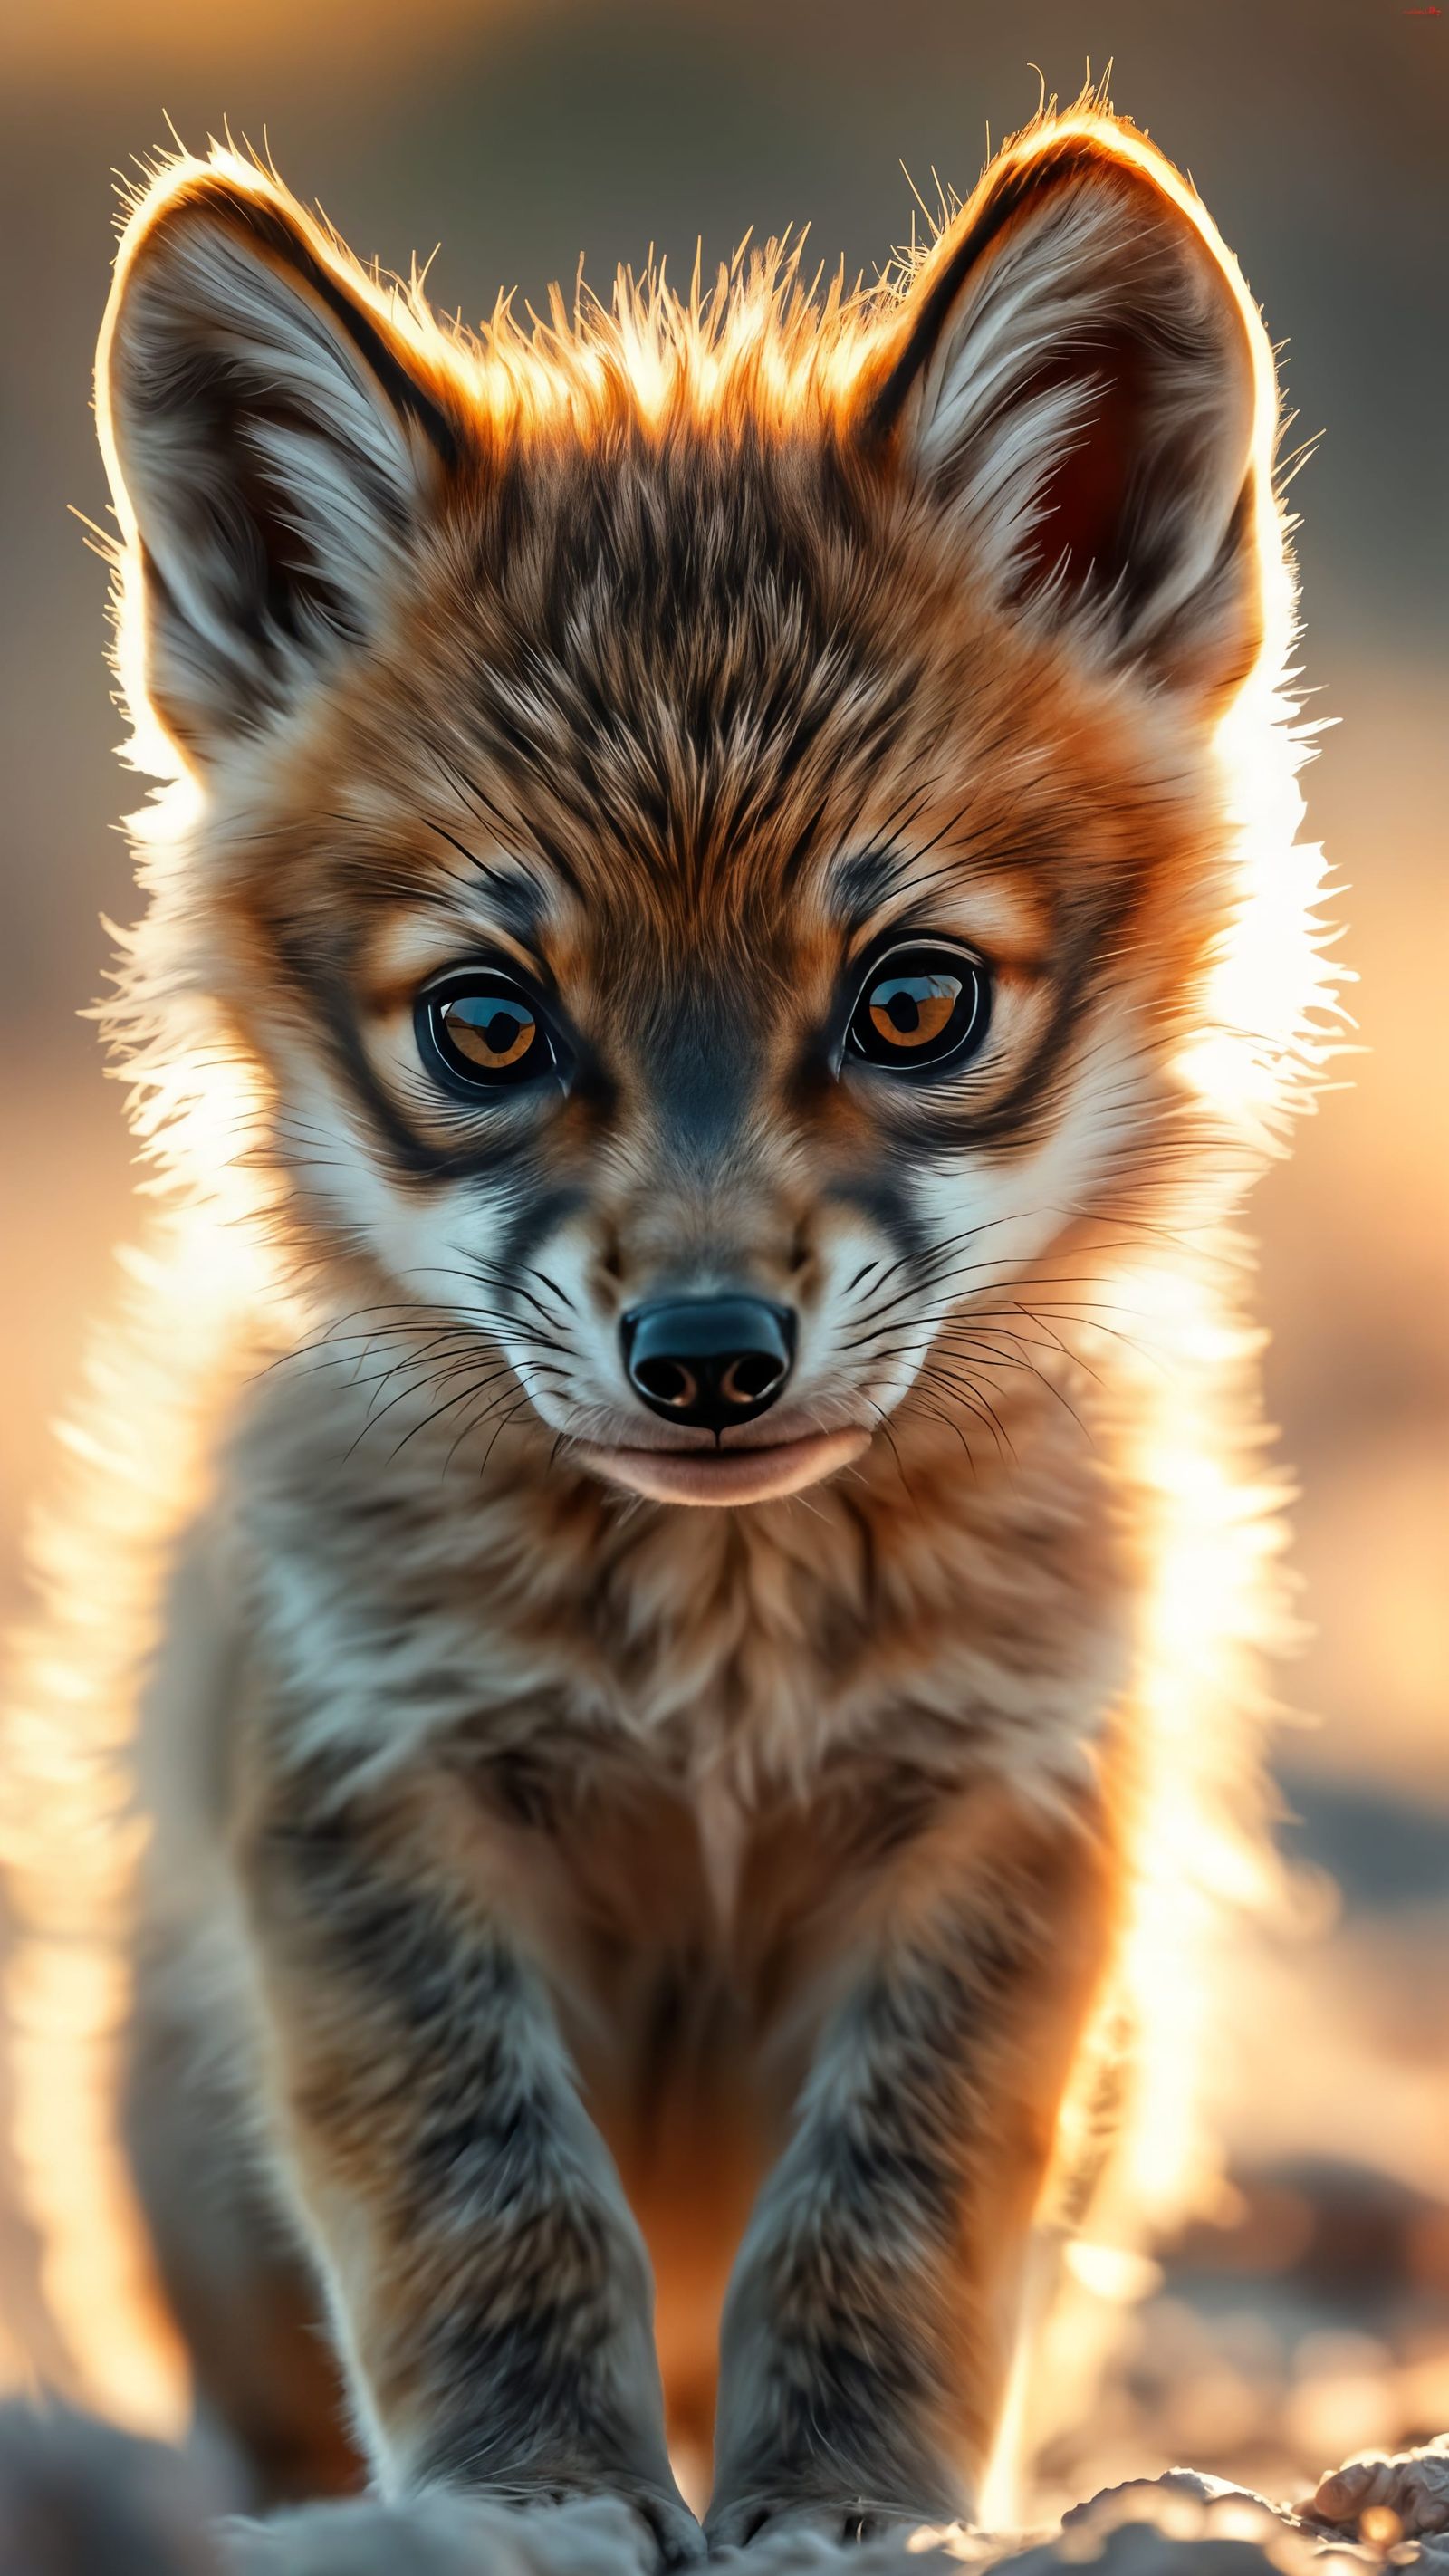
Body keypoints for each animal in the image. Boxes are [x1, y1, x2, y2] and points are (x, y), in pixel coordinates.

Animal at [1, 94, 1344, 2568]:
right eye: (486, 1025)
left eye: (913, 1003)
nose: (708, 1353)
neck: (723, 1665)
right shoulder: (366, 1789)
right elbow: (489, 2195)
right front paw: (527, 2494)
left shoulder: (1009, 1816)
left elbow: (884, 2212)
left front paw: (847, 2510)